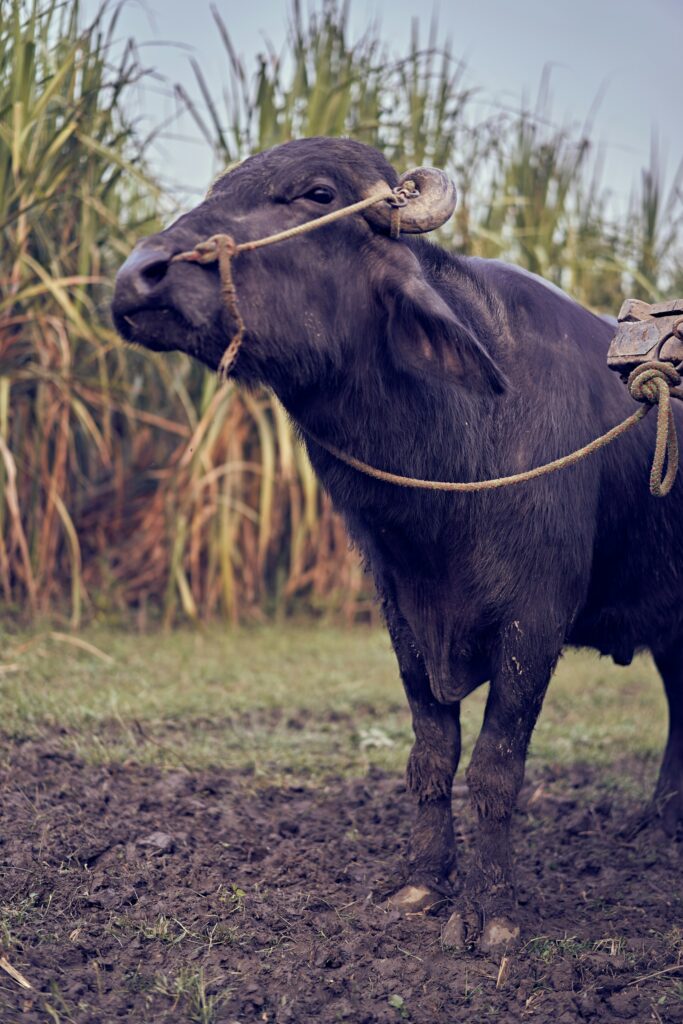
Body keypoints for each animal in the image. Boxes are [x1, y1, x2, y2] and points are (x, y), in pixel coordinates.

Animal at [112, 137, 683, 951]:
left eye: (317, 194)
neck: (456, 452)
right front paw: (421, 884)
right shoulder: (402, 608)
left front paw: (492, 910)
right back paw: (658, 823)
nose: (140, 276)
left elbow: (496, 766)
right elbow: (431, 753)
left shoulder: (536, 618)